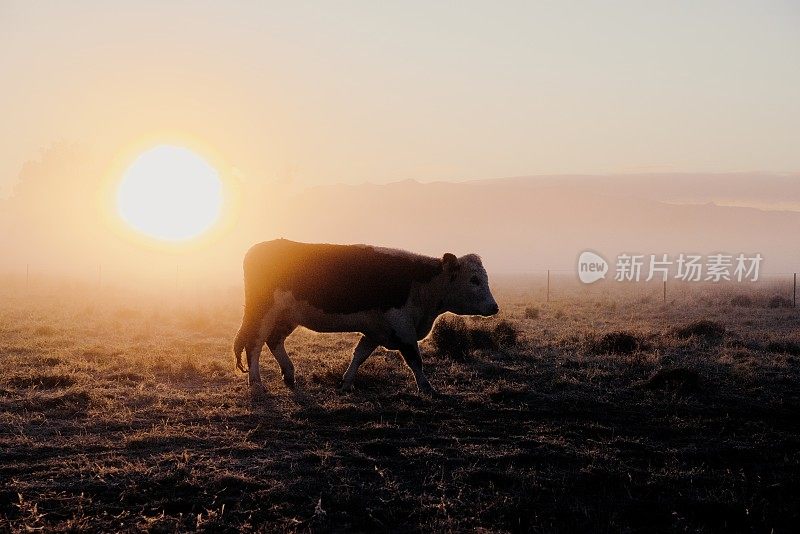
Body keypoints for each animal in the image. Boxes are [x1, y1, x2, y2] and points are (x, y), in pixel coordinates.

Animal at [231, 241, 496, 396]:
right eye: (474, 280)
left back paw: (289, 375)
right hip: (263, 311)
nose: (494, 306)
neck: (422, 284)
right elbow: (415, 360)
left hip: (287, 316)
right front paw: (427, 387)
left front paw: (346, 383)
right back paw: (256, 383)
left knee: (274, 341)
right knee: (255, 344)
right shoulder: (403, 327)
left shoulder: (377, 331)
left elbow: (359, 355)